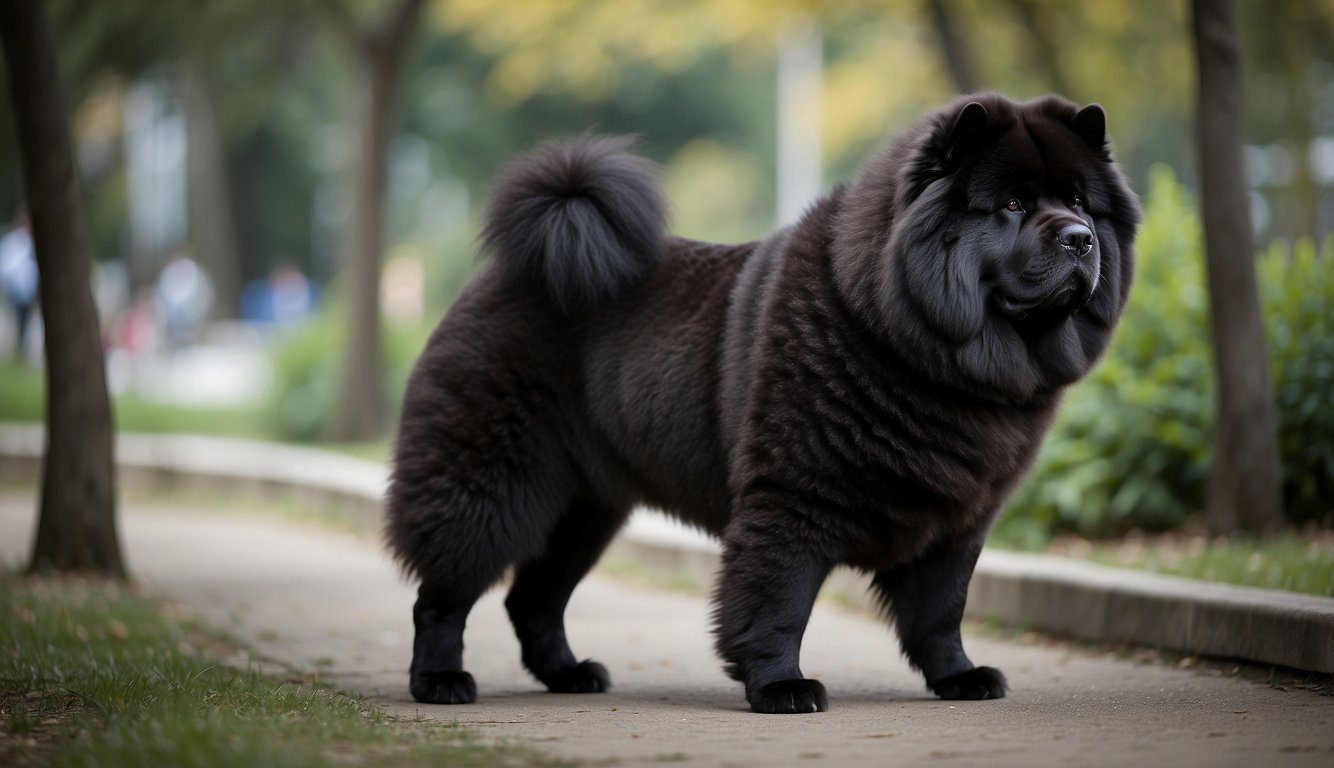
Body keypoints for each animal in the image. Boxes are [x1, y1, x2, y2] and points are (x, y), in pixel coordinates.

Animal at [389, 94, 1141, 714]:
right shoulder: (792, 501)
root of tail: (508, 272)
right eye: (1011, 206)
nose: (1080, 237)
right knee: (445, 593)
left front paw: (959, 677)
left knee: (534, 598)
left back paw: (570, 675)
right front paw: (783, 687)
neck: (922, 349)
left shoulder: (958, 521)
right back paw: (440, 682)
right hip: (491, 483)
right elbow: (777, 603)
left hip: (586, 509)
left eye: (1081, 202)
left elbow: (940, 611)